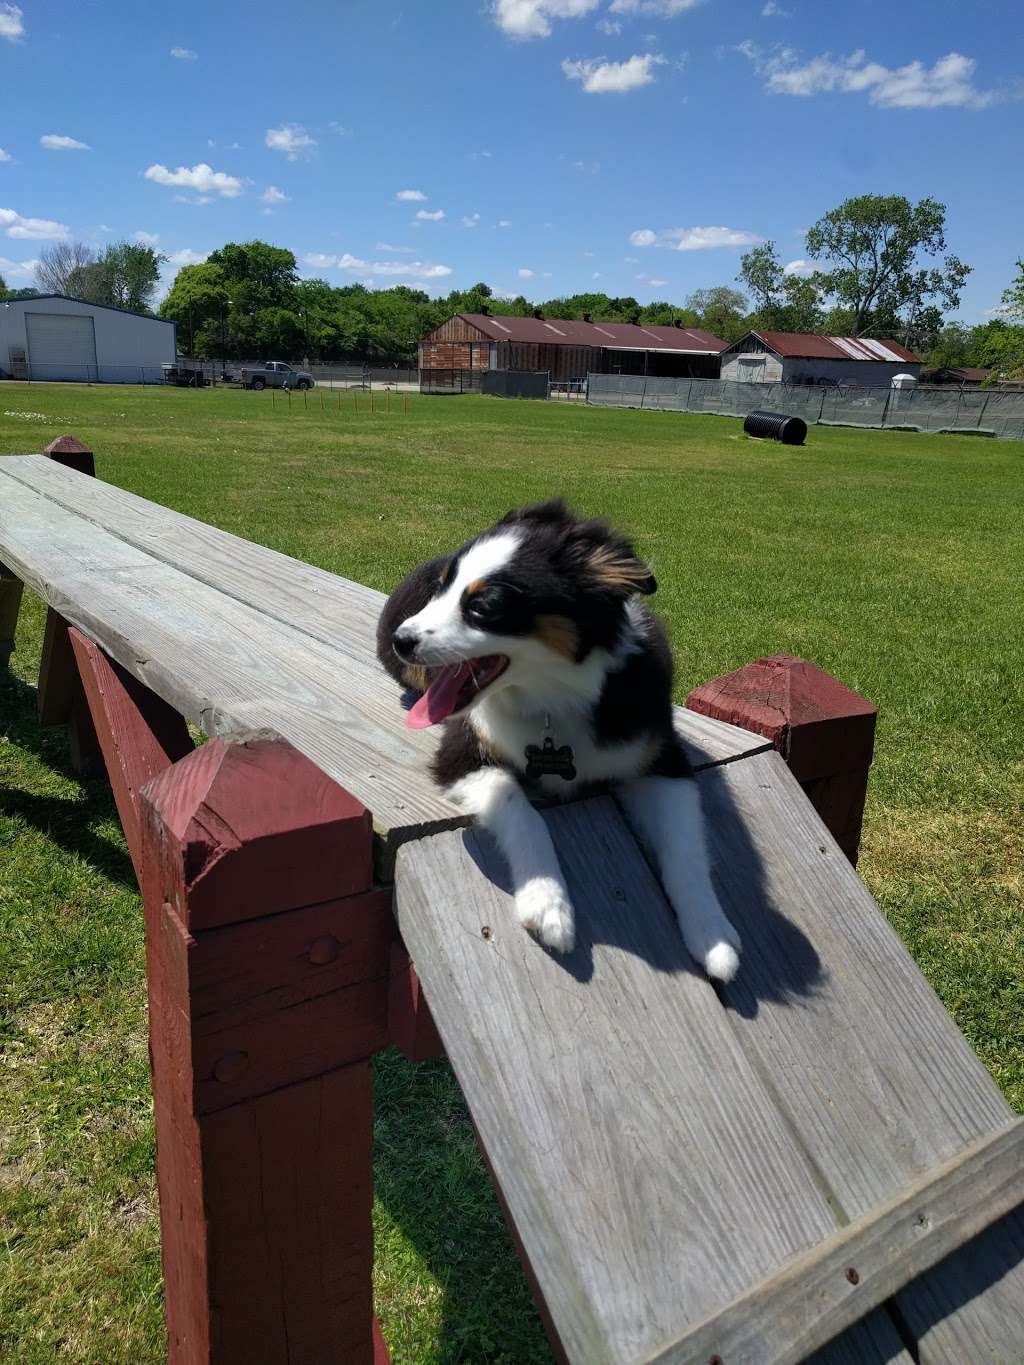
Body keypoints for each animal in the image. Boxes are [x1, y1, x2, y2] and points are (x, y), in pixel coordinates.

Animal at [376, 502, 748, 982]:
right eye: (441, 590)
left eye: (483, 606)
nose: (401, 640)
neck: (555, 696)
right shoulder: (463, 753)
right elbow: (522, 812)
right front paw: (548, 905)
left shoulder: (663, 760)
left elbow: (686, 847)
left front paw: (712, 933)